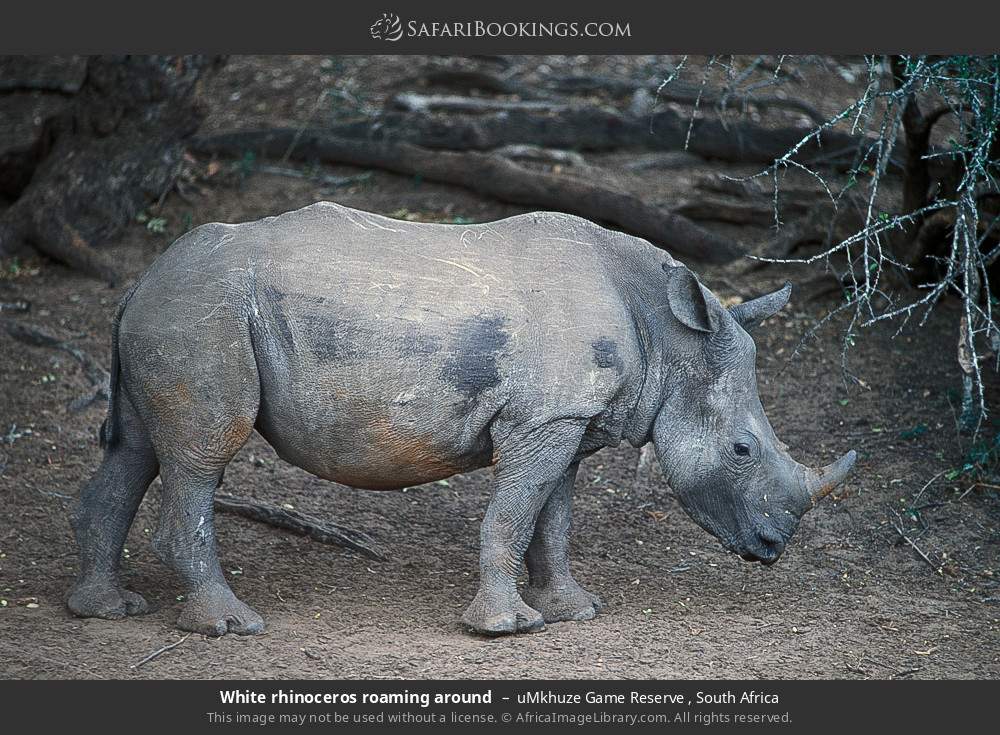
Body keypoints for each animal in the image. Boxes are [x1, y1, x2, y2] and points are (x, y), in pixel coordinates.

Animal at [68, 202, 855, 637]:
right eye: (742, 449)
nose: (773, 547)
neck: (668, 334)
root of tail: (140, 278)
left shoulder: (566, 419)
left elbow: (553, 516)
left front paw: (573, 610)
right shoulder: (545, 419)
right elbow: (512, 513)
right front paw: (506, 626)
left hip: (179, 310)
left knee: (137, 452)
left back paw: (107, 608)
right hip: (205, 314)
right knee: (202, 454)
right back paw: (232, 626)